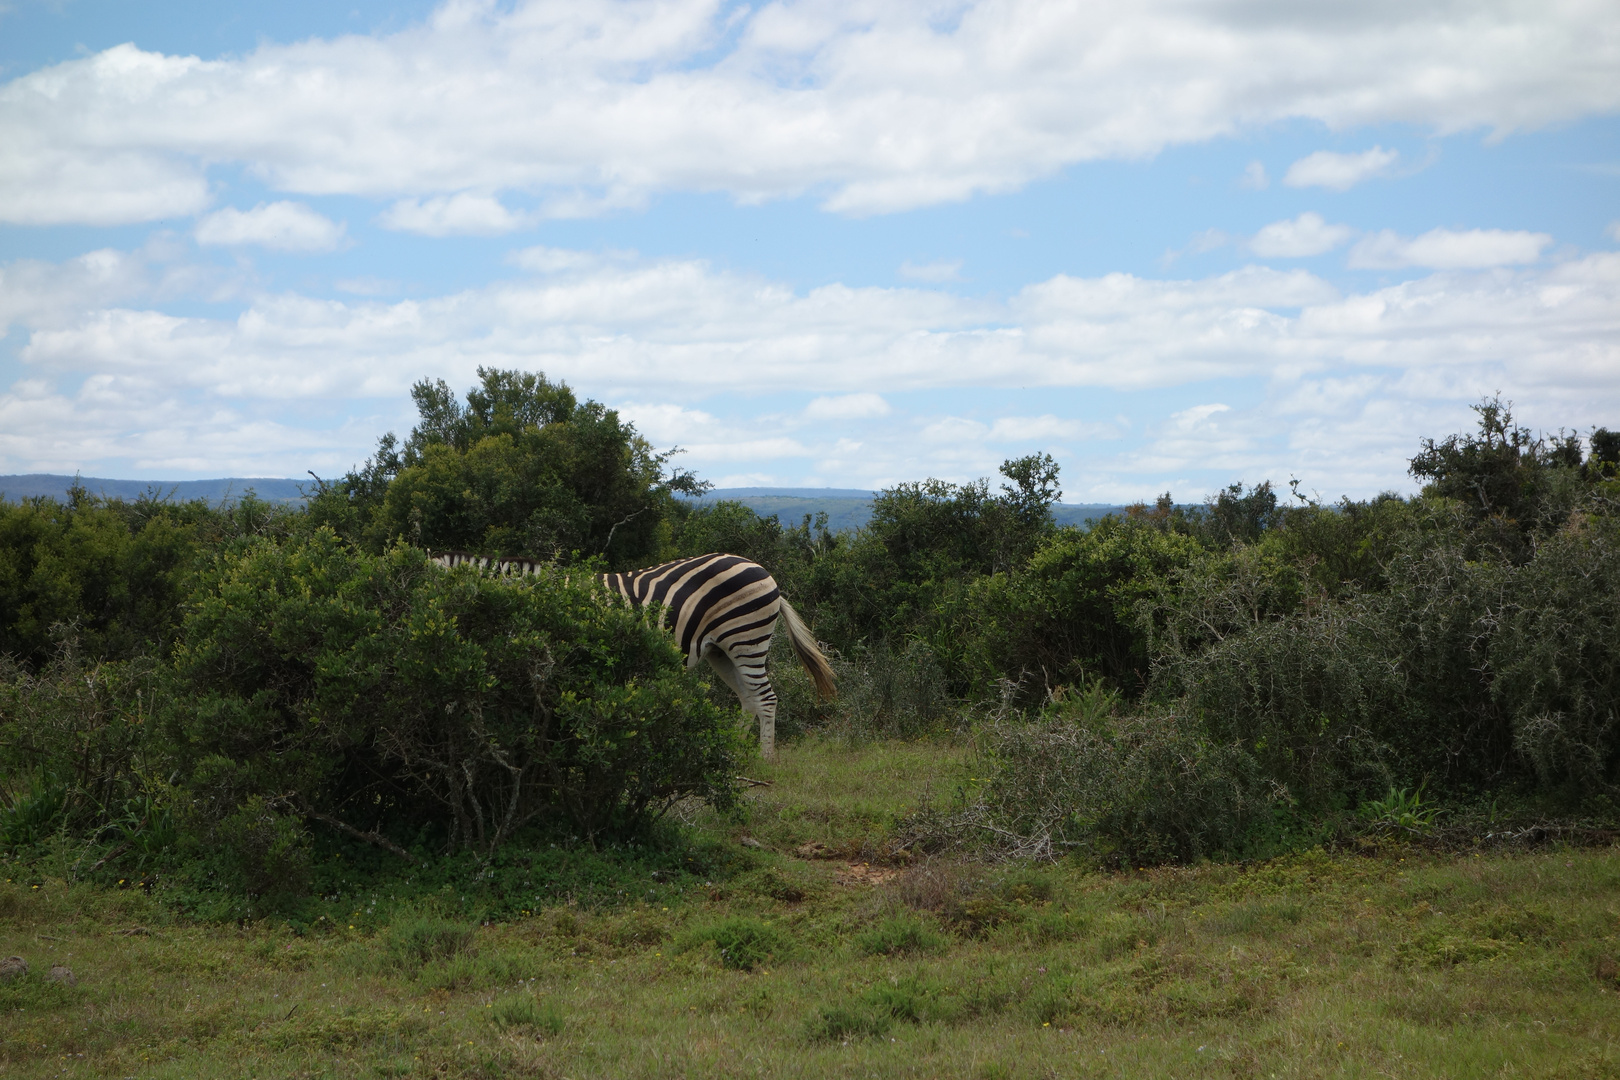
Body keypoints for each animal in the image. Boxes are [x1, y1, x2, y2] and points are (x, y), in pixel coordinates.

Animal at [430, 553, 835, 757]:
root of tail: (761, 569)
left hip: (746, 637)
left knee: (765, 699)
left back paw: (764, 762)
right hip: (720, 650)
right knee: (749, 700)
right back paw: (730, 755)